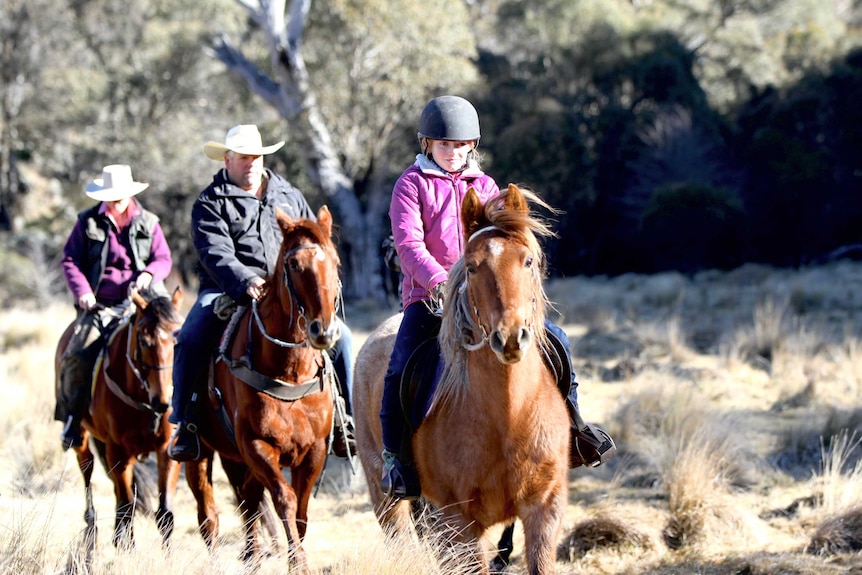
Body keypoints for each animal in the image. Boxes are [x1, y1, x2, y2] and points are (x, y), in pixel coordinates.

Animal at [57, 288, 187, 560]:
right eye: (144, 341)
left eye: (177, 339)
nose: (163, 402)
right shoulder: (118, 450)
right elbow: (127, 506)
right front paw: (128, 550)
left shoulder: (166, 450)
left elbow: (164, 512)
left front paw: (167, 556)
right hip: (84, 439)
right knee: (88, 471)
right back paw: (92, 527)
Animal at [186, 206, 344, 572]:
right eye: (293, 264)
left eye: (335, 261)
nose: (324, 331)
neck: (289, 373)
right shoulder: (257, 445)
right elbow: (284, 499)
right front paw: (297, 564)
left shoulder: (314, 450)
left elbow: (300, 511)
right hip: (198, 455)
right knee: (209, 515)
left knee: (247, 497)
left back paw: (252, 555)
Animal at [354, 186, 572, 575]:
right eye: (471, 267)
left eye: (528, 261)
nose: (511, 337)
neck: (508, 417)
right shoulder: (459, 524)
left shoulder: (545, 507)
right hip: (388, 498)